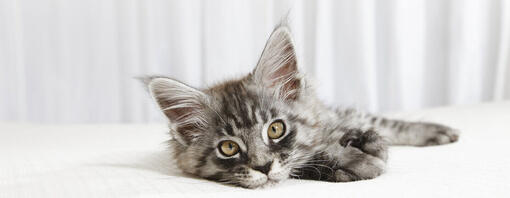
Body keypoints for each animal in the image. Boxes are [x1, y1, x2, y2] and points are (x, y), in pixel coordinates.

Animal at [142, 24, 458, 189]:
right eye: (228, 148)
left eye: (276, 129)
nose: (262, 167)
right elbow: (309, 159)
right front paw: (355, 160)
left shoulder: (335, 113)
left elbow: (382, 123)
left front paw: (433, 132)